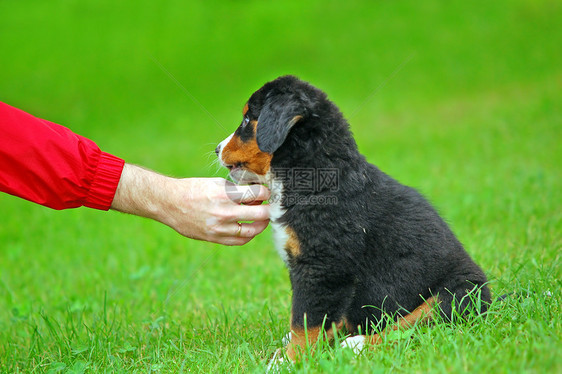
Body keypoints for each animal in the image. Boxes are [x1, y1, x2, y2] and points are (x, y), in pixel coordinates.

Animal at [215, 75, 490, 362]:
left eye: (247, 119)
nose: (216, 149)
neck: (316, 175)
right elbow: (312, 318)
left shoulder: (322, 268)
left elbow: (305, 320)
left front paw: (290, 360)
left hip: (458, 293)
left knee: (412, 325)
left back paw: (357, 344)